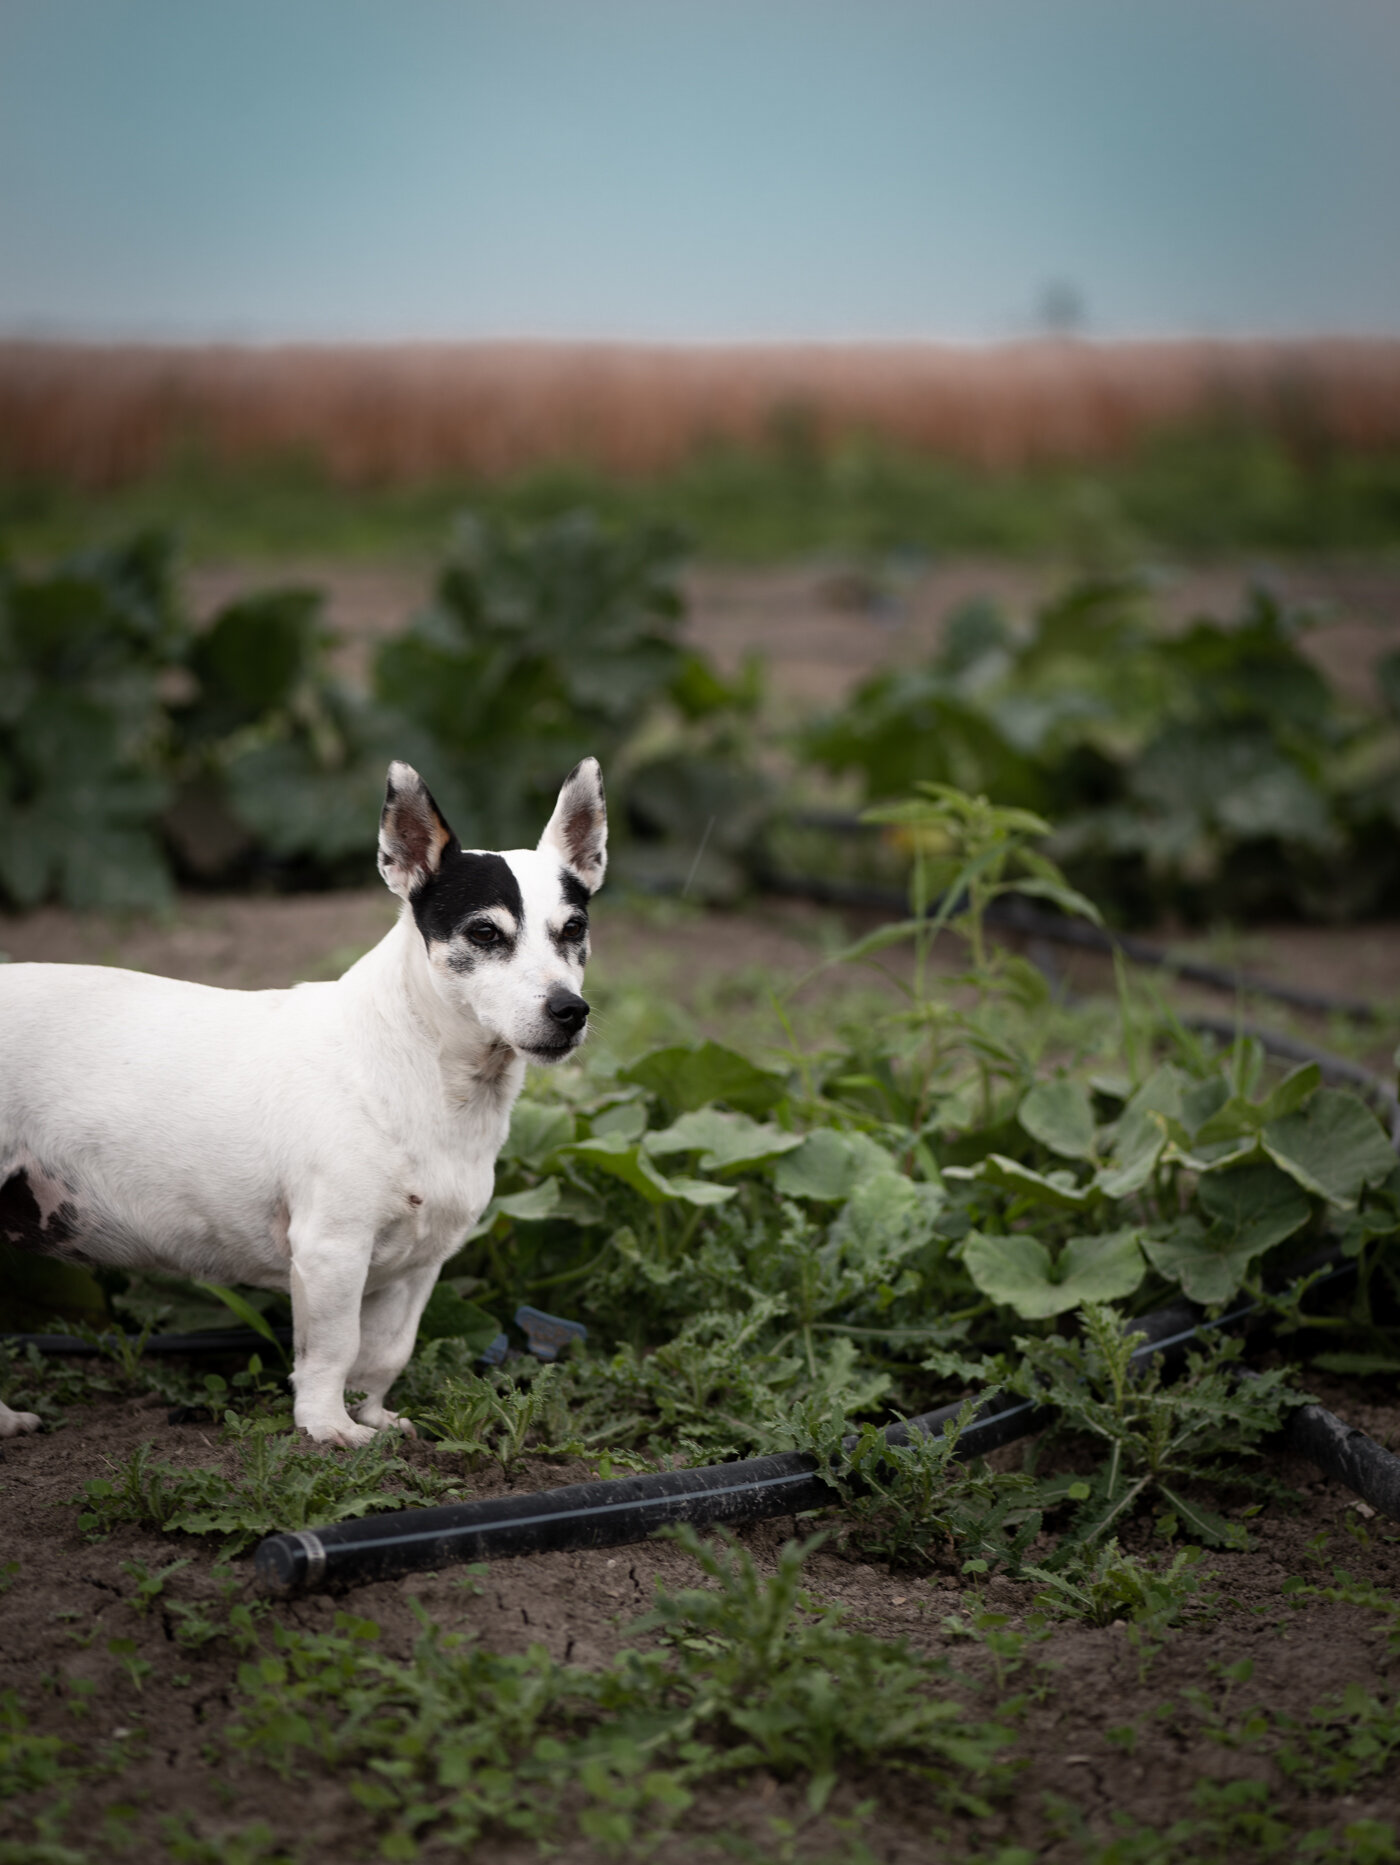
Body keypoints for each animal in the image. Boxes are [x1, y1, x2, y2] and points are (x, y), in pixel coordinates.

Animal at [0, 753, 603, 1439]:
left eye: (574, 929)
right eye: (484, 933)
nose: (570, 1010)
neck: (430, 1074)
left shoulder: (417, 1268)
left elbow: (384, 1353)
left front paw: (372, 1416)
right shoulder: (330, 1251)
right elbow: (333, 1348)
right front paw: (326, 1426)